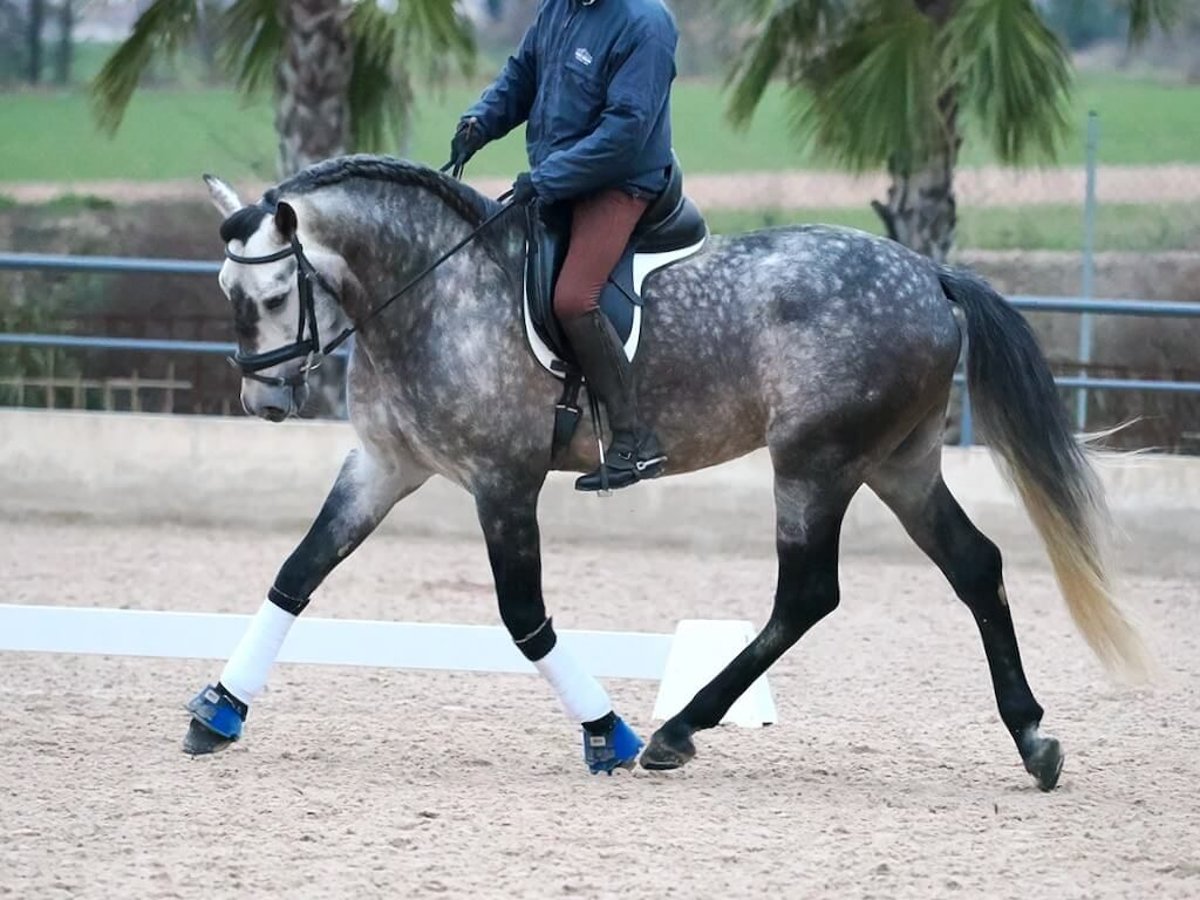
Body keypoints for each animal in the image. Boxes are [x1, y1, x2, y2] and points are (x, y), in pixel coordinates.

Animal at [187, 153, 1142, 787]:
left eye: (273, 297)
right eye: (228, 297)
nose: (265, 402)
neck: (431, 293)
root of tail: (932, 274)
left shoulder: (503, 483)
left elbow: (524, 617)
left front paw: (605, 732)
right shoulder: (383, 465)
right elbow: (297, 573)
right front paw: (219, 712)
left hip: (816, 461)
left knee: (808, 594)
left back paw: (676, 730)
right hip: (897, 463)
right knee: (975, 566)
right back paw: (1033, 740)